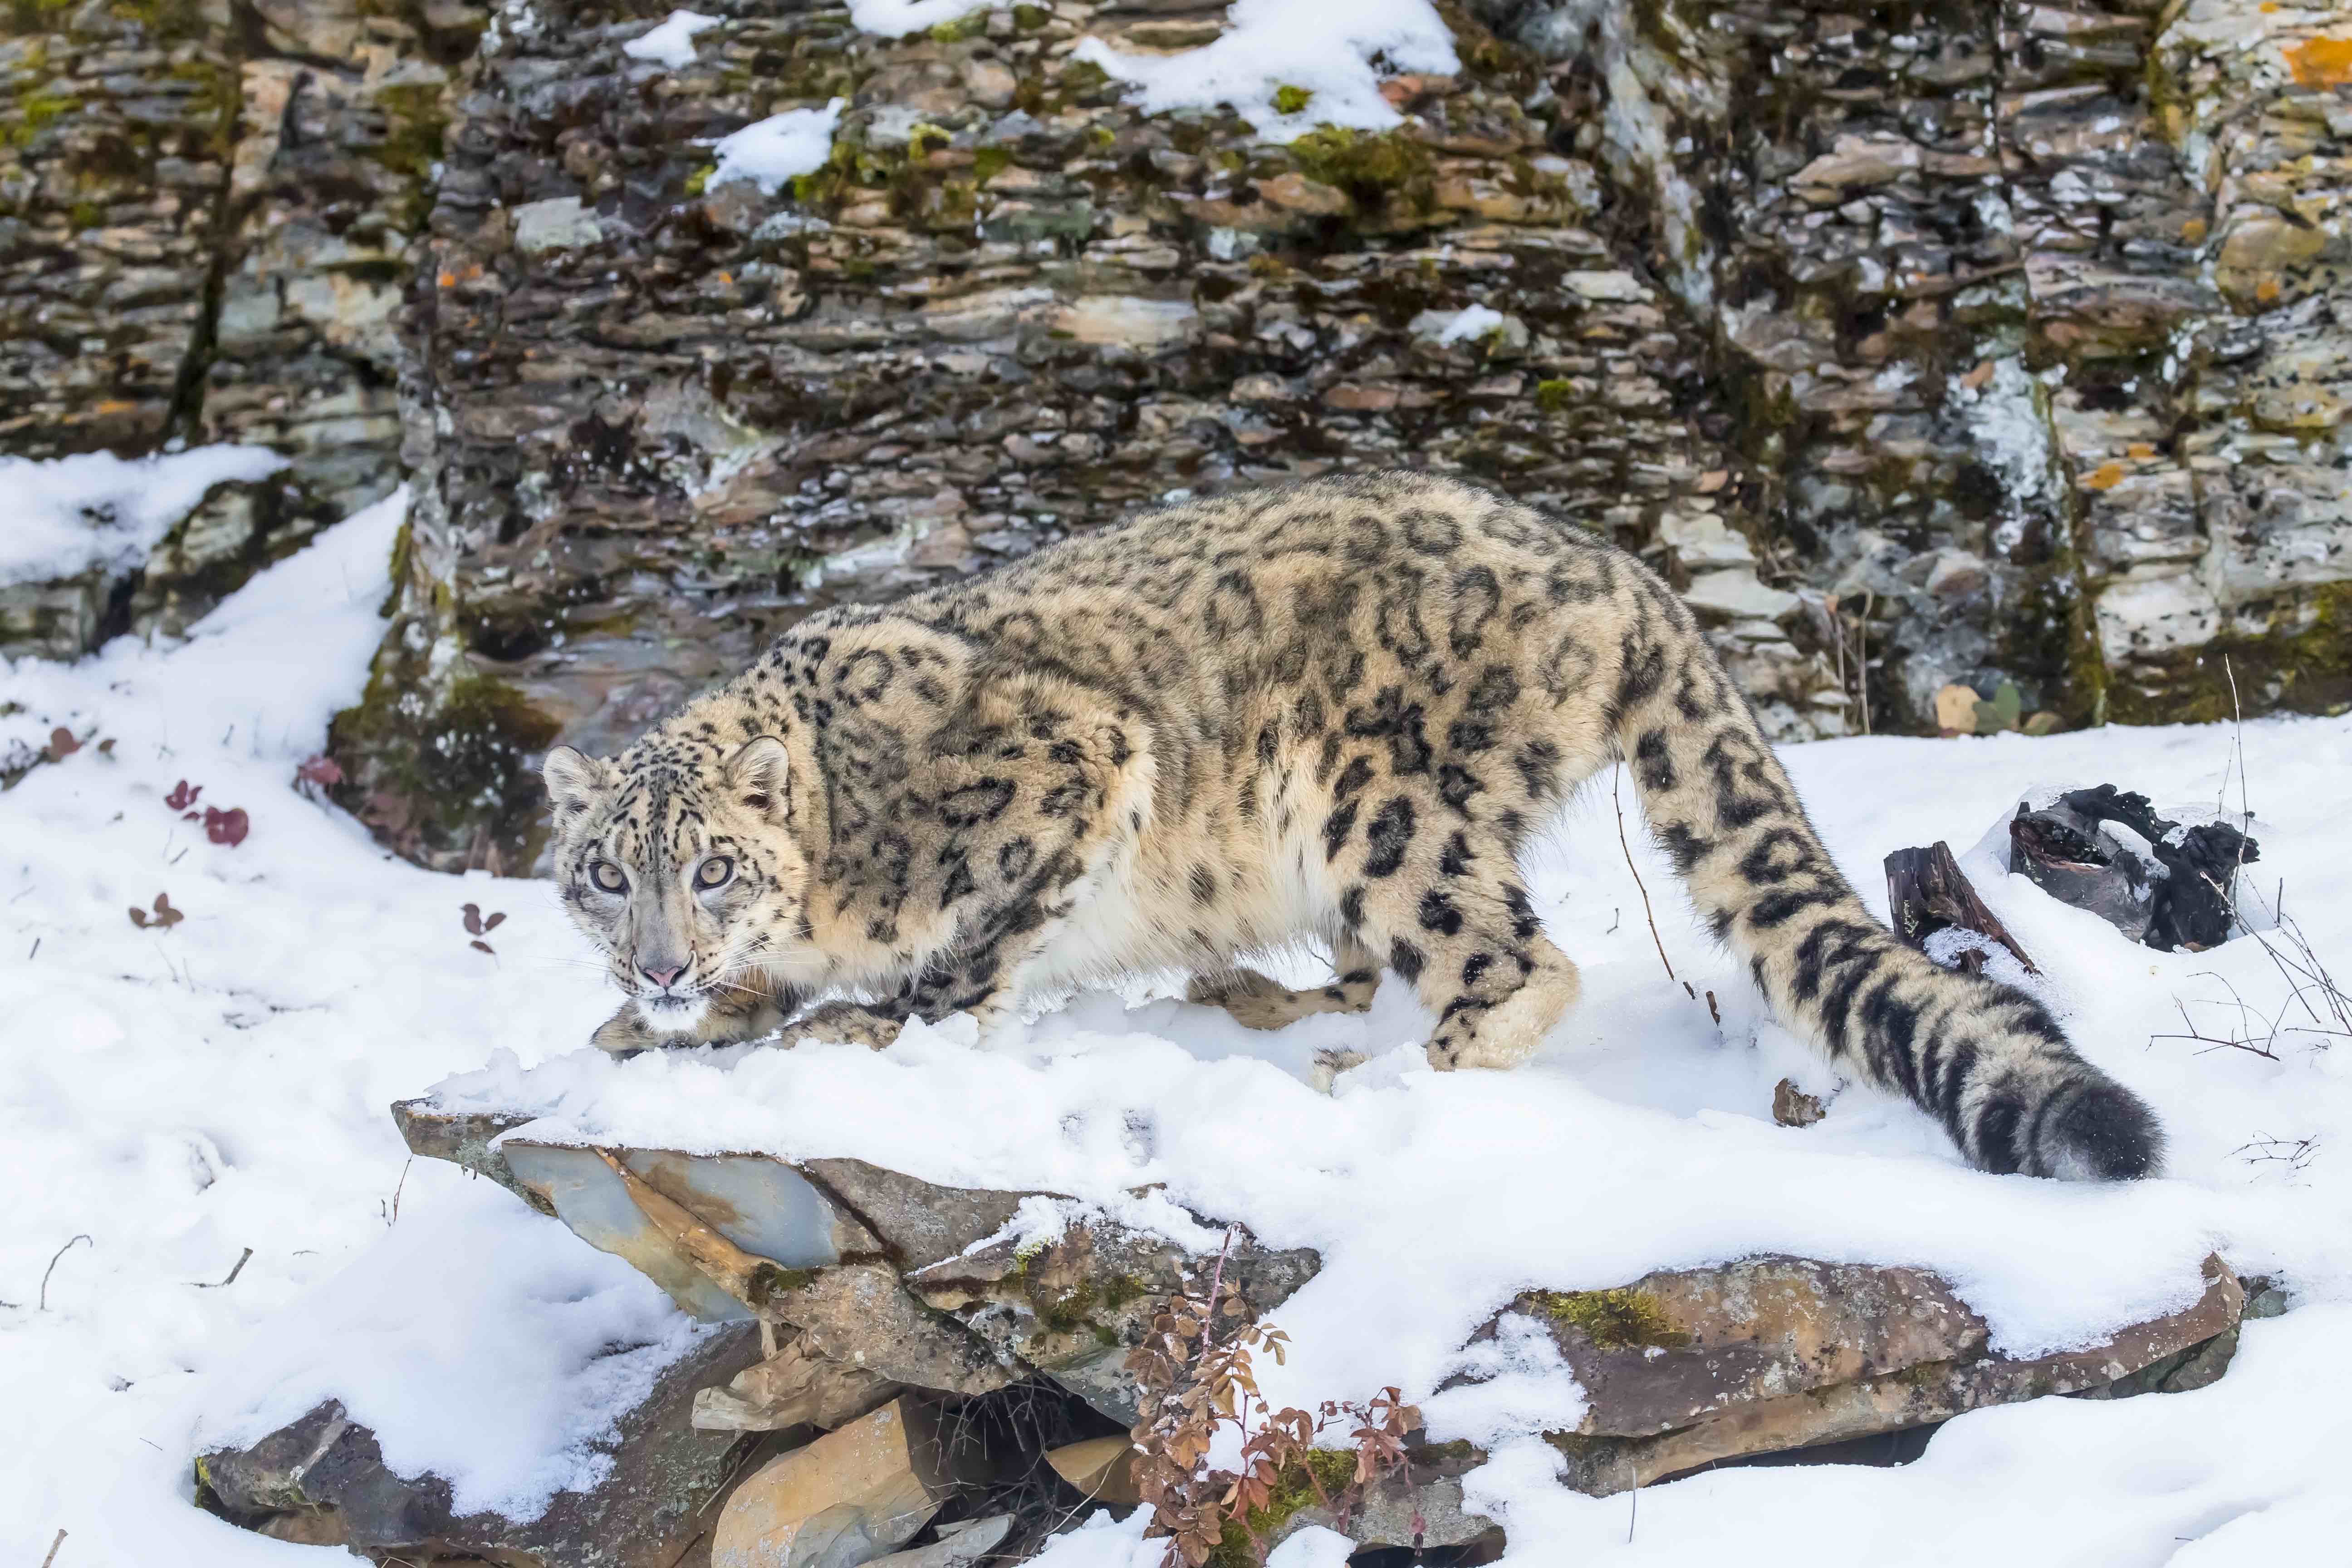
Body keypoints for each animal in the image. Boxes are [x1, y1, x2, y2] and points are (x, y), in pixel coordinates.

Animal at [543, 471, 2161, 1181]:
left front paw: (875, 1030)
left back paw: (1379, 1079)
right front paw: (651, 1027)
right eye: (607, 876)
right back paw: (1287, 1005)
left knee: (1515, 959)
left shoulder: (1072, 764)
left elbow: (976, 949)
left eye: (712, 865)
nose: (663, 962)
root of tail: (1619, 570)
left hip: (1373, 799)